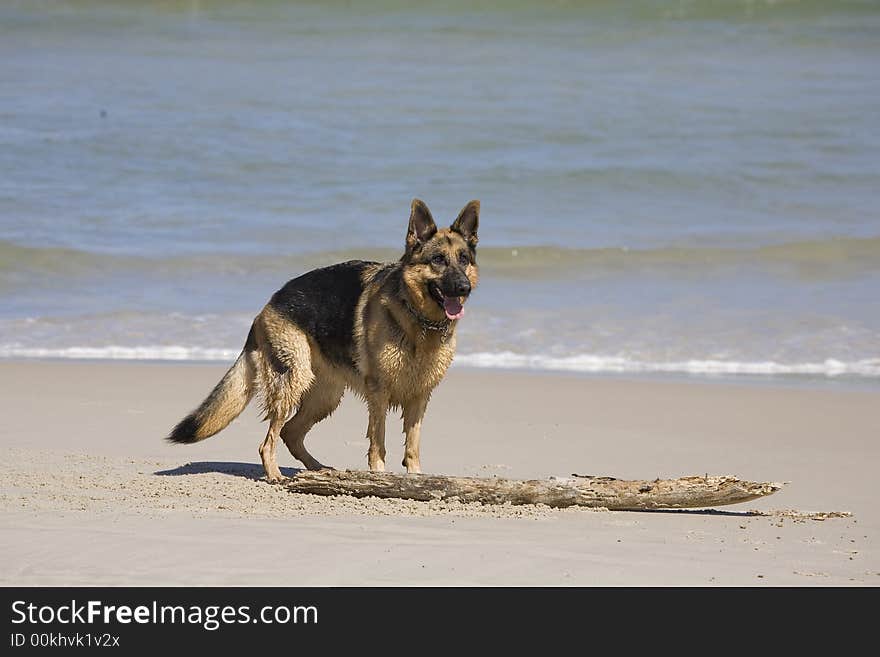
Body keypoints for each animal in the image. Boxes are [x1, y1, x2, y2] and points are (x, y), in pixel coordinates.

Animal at [165, 197, 482, 480]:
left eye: (464, 259)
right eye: (438, 260)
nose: (463, 288)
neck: (418, 321)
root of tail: (268, 304)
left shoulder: (419, 396)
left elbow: (412, 446)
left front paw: (415, 478)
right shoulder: (378, 394)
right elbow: (377, 442)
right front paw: (379, 476)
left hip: (324, 396)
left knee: (291, 433)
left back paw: (318, 470)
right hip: (293, 383)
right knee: (269, 440)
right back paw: (276, 475)